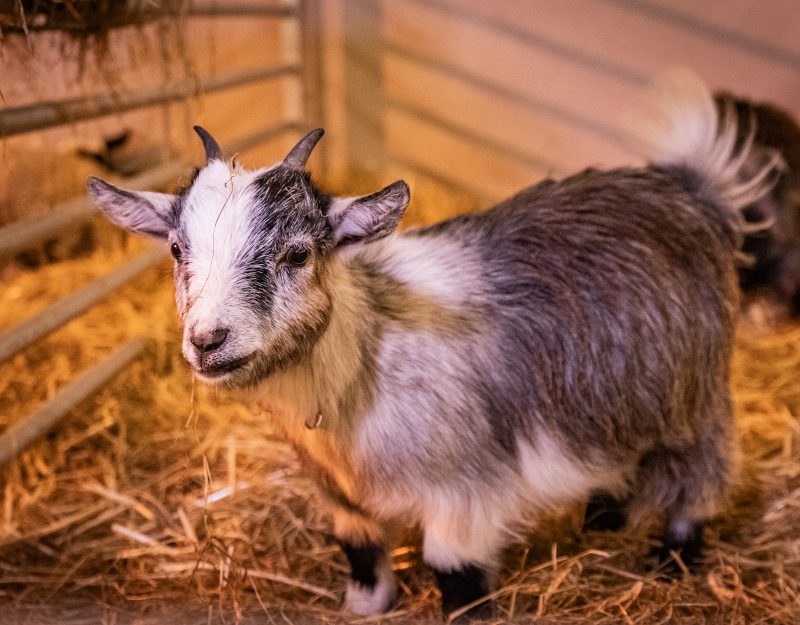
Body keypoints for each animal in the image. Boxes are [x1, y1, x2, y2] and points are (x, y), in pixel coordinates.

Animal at [87, 69, 778, 620]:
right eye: (176, 249)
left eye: (299, 253)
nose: (209, 340)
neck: (367, 359)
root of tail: (690, 190)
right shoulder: (343, 499)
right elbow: (362, 557)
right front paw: (365, 605)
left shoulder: (464, 491)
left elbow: (457, 575)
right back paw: (602, 517)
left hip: (695, 399)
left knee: (701, 477)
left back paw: (672, 556)